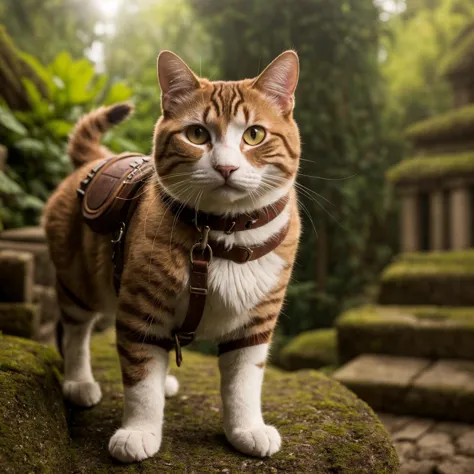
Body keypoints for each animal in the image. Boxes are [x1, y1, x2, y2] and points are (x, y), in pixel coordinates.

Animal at [43, 50, 300, 462]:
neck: (223, 234)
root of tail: (94, 158)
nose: (226, 167)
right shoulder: (141, 309)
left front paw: (246, 429)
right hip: (78, 284)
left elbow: (243, 383)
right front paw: (139, 431)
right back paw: (78, 381)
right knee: (75, 331)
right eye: (197, 134)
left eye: (254, 134)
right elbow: (141, 381)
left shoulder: (255, 323)